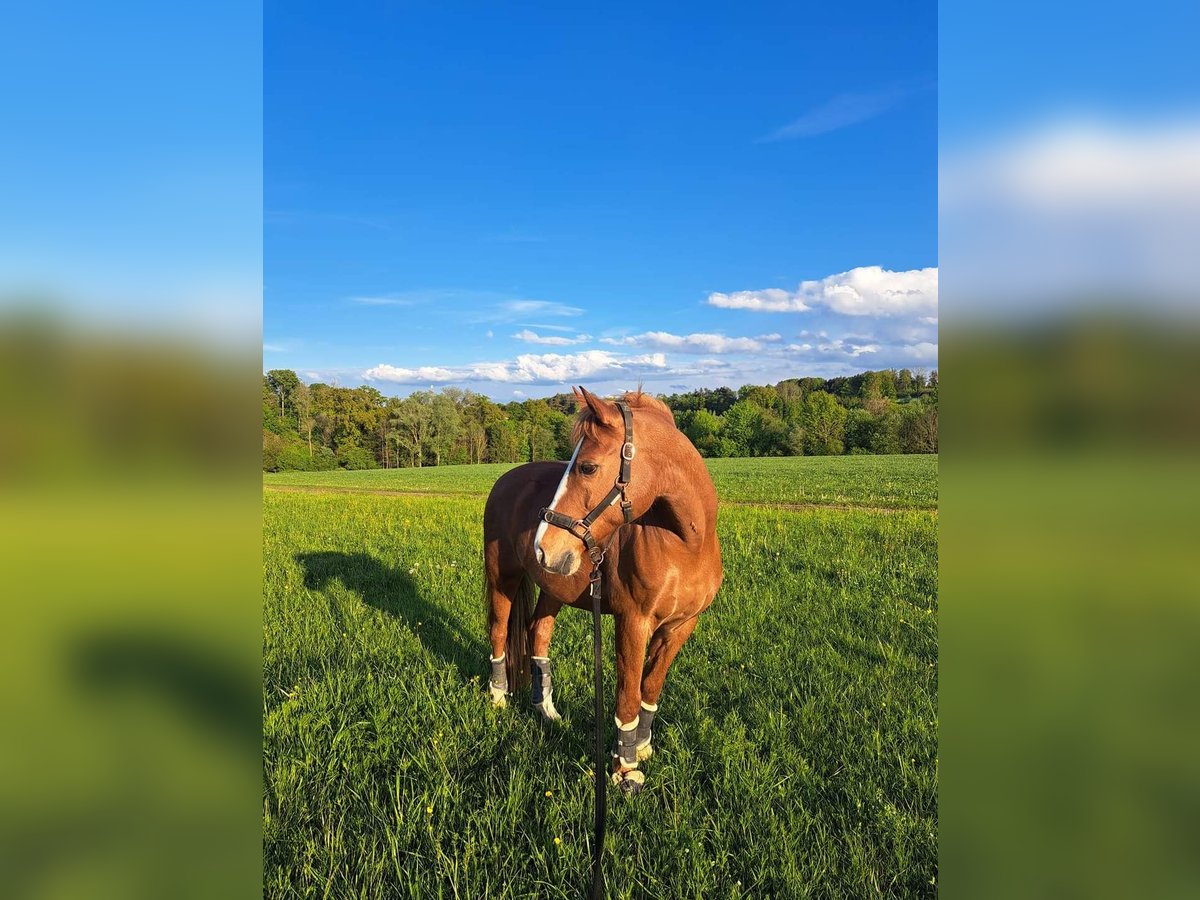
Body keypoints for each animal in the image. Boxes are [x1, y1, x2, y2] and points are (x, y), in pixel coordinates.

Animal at [480, 388, 720, 796]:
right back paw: (498, 698)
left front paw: (641, 747)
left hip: (554, 587)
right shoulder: (632, 623)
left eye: (587, 467)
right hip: (503, 579)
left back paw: (547, 711)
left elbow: (650, 688)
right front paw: (625, 771)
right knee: (499, 631)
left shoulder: (681, 626)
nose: (544, 546)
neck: (686, 545)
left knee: (537, 633)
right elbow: (627, 697)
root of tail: (505, 480)